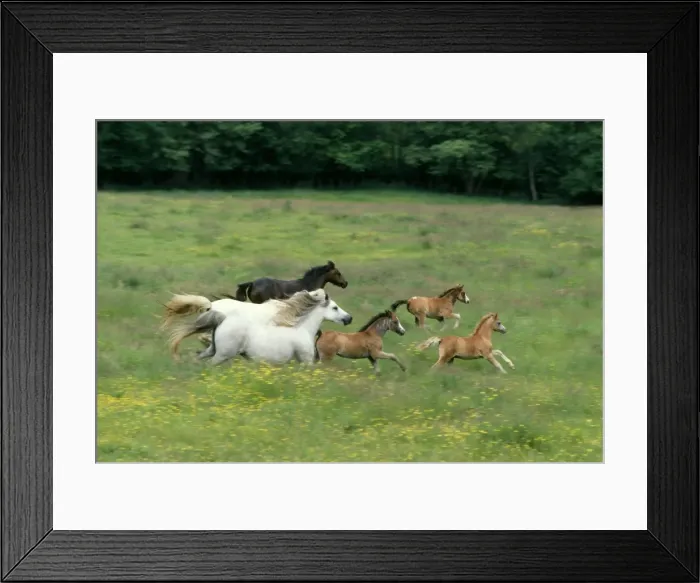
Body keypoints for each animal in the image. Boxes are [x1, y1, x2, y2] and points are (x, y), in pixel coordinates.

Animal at [194, 290, 352, 366]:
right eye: (335, 308)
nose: (349, 318)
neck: (302, 328)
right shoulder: (306, 360)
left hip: (213, 350)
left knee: (199, 358)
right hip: (223, 354)